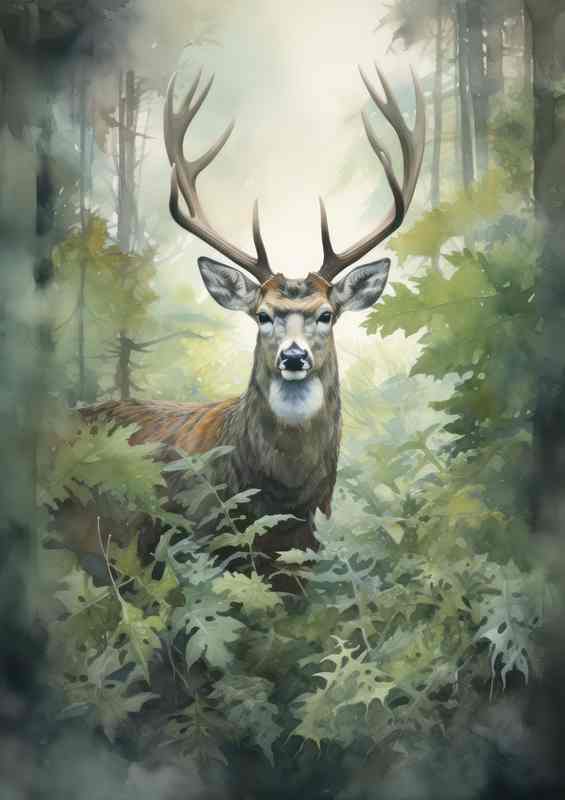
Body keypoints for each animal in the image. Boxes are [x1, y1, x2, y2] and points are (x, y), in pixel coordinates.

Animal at [66, 63, 425, 582]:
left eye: (326, 315)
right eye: (262, 315)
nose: (293, 356)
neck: (281, 503)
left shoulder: (302, 560)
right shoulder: (190, 543)